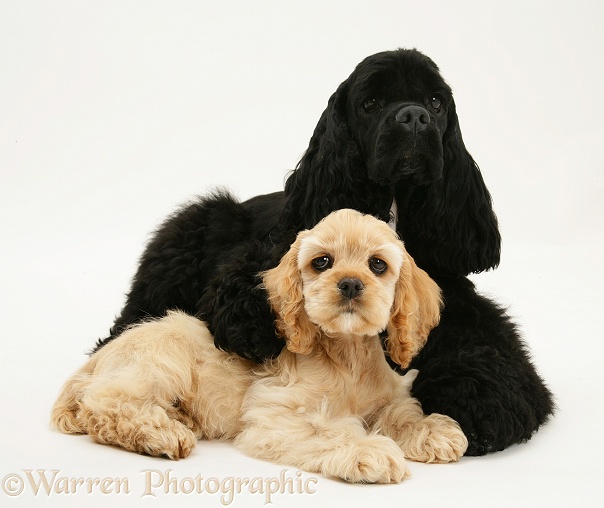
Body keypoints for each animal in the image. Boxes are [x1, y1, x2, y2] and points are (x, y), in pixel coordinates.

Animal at [53, 209, 468, 484]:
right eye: (322, 262)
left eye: (378, 265)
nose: (350, 284)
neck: (345, 356)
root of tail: (94, 361)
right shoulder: (277, 415)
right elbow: (327, 430)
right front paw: (368, 450)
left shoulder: (384, 399)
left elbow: (402, 412)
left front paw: (433, 431)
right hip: (159, 363)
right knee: (105, 404)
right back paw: (160, 433)